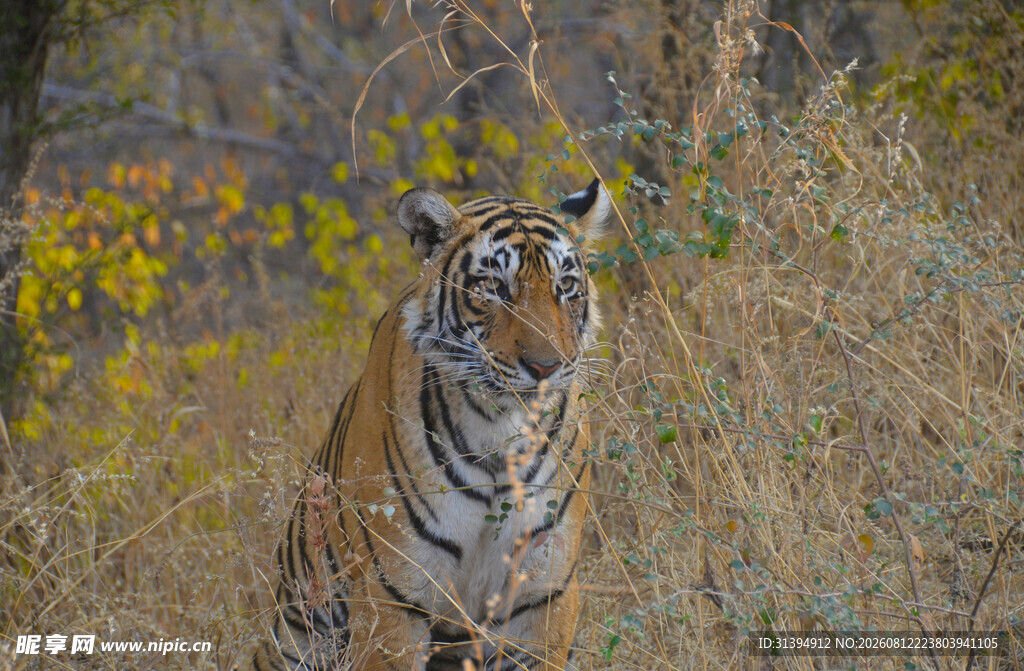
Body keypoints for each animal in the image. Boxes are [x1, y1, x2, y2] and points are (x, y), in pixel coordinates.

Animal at [244, 179, 611, 671]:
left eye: (566, 286)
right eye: (494, 287)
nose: (545, 367)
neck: (500, 433)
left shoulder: (542, 591)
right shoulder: (395, 591)